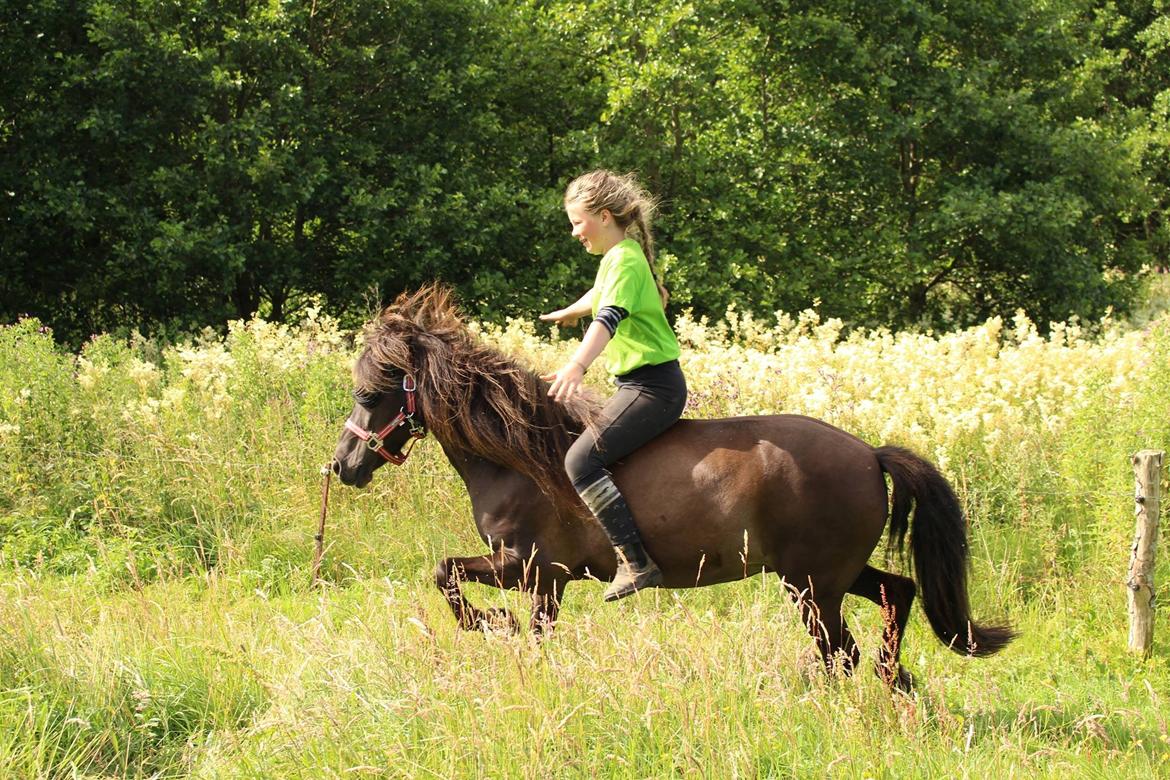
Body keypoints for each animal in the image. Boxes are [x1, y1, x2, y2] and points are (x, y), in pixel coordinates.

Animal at [332, 286, 1015, 687]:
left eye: (369, 394)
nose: (343, 465)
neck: (520, 458)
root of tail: (870, 454)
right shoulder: (547, 581)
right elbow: (511, 617)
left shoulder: (527, 567)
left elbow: (447, 575)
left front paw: (489, 624)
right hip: (832, 574)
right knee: (897, 595)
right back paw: (895, 680)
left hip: (813, 585)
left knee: (839, 651)